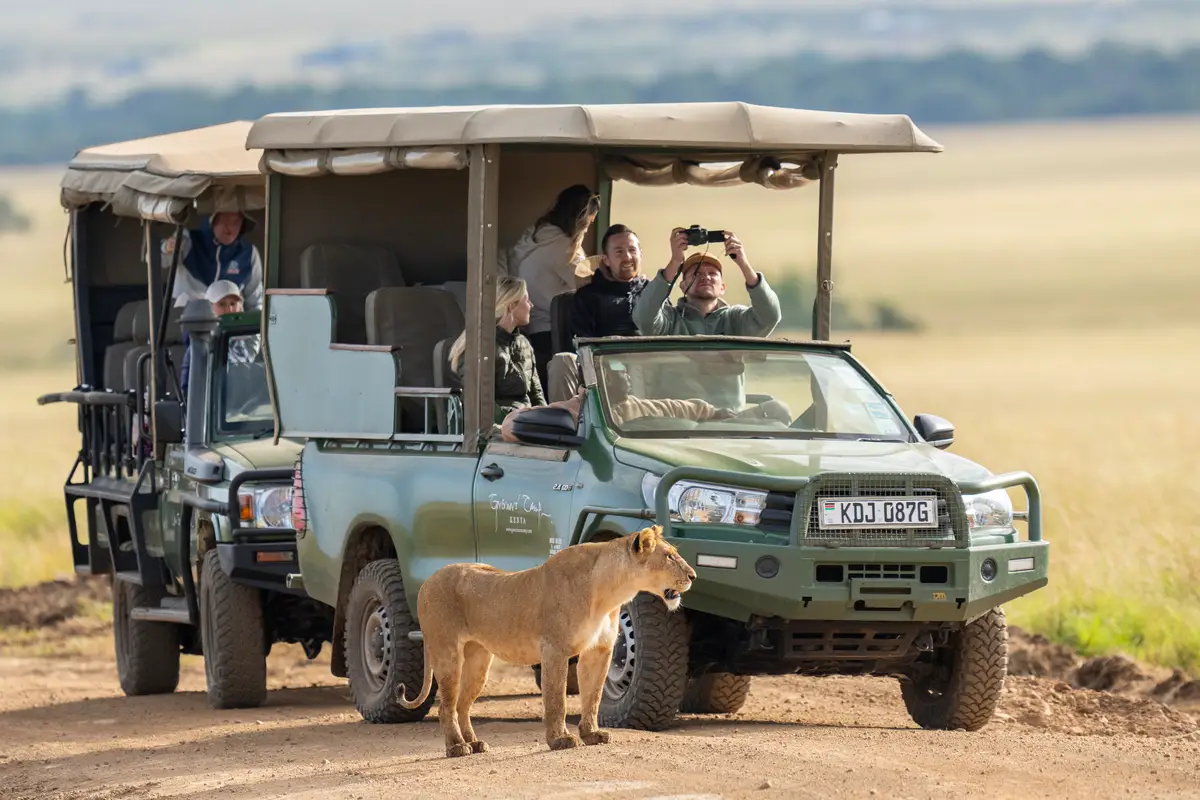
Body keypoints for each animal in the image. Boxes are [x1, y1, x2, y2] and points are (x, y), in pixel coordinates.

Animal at [397, 524, 696, 757]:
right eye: (669, 556)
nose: (693, 575)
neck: (610, 593)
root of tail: (427, 581)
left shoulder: (599, 650)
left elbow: (593, 696)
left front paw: (592, 734)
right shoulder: (555, 649)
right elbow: (557, 699)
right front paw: (560, 740)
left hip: (479, 660)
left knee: (461, 705)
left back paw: (475, 743)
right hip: (447, 652)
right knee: (446, 707)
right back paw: (457, 747)